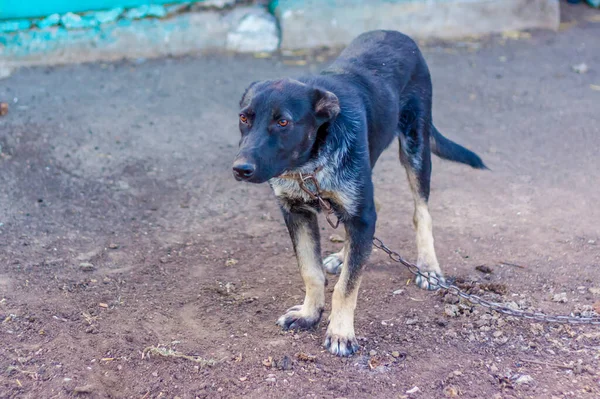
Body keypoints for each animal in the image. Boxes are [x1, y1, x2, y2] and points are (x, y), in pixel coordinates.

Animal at [232, 30, 486, 356]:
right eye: (244, 118)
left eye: (283, 122)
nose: (241, 169)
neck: (309, 165)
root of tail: (397, 33)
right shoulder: (297, 213)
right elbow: (311, 271)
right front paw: (309, 314)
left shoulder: (362, 214)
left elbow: (346, 287)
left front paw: (341, 333)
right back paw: (345, 255)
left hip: (415, 147)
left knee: (421, 212)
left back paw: (429, 266)